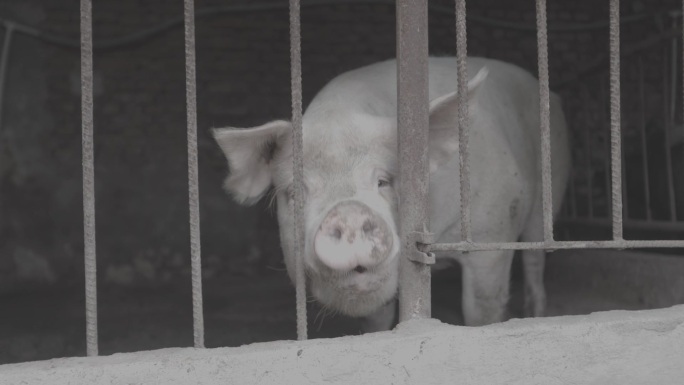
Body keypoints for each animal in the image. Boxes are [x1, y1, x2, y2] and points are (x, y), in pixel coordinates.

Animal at [214, 56, 572, 330]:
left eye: (383, 181)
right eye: (295, 193)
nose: (349, 211)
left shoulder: (491, 233)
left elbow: (482, 308)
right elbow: (378, 318)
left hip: (547, 194)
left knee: (536, 258)